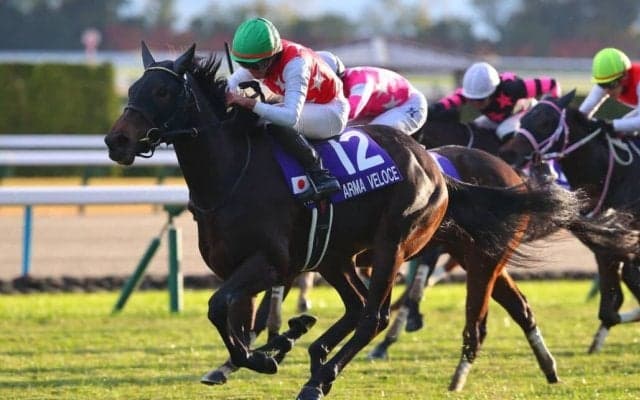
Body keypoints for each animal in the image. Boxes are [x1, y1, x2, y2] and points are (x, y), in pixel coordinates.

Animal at [105, 43, 624, 397]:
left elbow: (222, 310)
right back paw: (314, 352)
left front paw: (269, 356)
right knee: (360, 308)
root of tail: (437, 168)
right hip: (341, 255)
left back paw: (321, 376)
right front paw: (273, 347)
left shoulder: (271, 262)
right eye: (131, 88)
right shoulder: (241, 267)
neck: (233, 173)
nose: (116, 141)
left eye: (163, 90)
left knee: (373, 314)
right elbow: (235, 319)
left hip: (397, 243)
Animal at [499, 90, 640, 353]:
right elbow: (610, 309)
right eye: (524, 119)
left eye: (545, 122)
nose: (508, 153)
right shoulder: (605, 243)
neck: (614, 175)